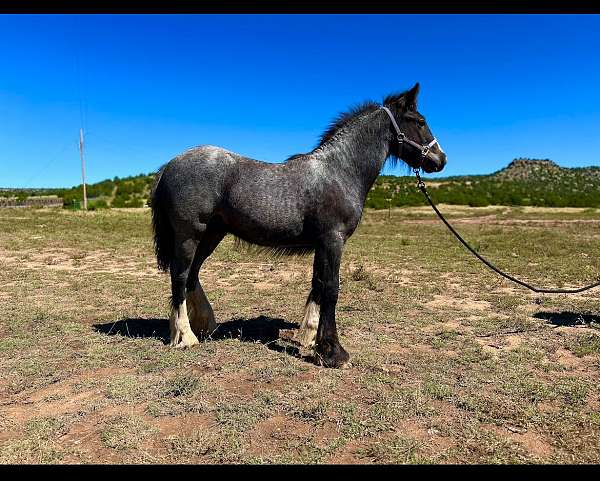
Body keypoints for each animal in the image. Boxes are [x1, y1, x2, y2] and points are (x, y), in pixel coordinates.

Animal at [150, 82, 446, 368]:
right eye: (420, 121)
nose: (441, 159)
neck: (339, 171)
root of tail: (169, 166)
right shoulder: (333, 240)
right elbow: (331, 288)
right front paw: (333, 352)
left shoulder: (323, 243)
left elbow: (318, 284)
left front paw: (310, 337)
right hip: (189, 234)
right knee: (180, 277)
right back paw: (186, 337)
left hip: (212, 234)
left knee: (192, 275)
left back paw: (204, 326)